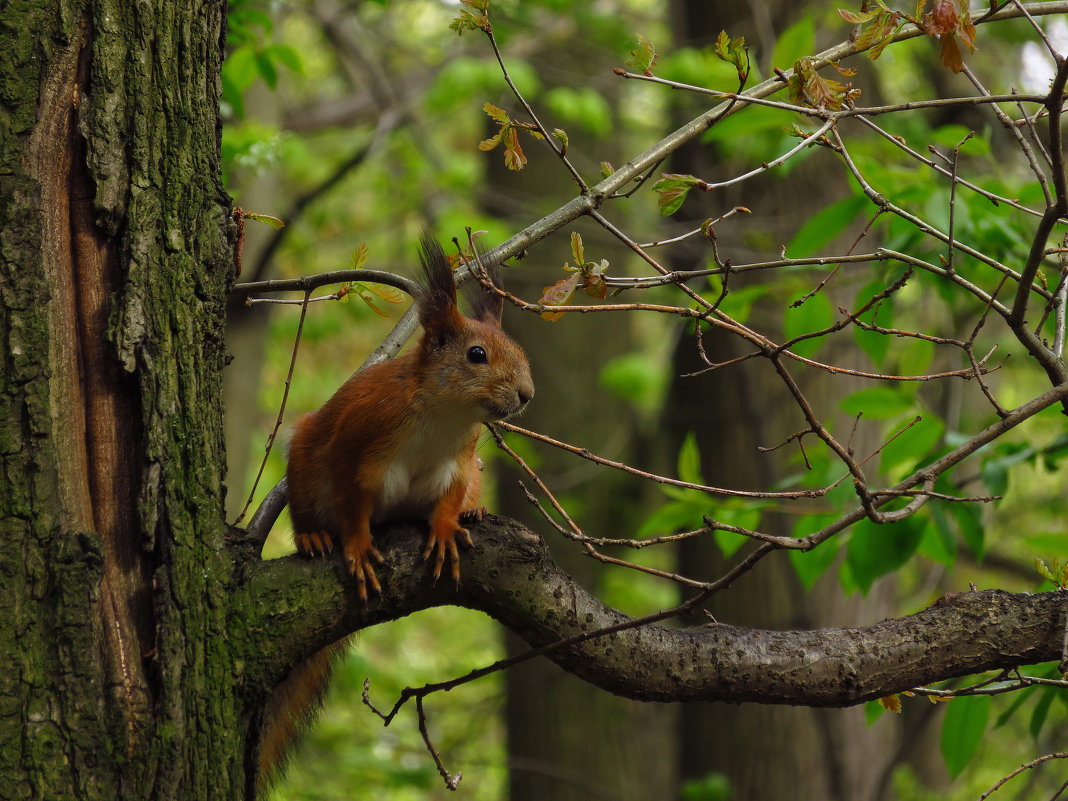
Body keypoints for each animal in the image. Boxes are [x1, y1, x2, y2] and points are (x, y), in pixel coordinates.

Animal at [284, 231, 534, 598]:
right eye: (477, 354)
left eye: (519, 350)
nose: (527, 394)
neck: (444, 414)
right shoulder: (358, 439)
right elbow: (351, 502)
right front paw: (359, 546)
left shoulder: (459, 461)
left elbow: (451, 494)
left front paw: (445, 527)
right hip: (302, 468)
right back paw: (312, 536)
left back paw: (472, 509)